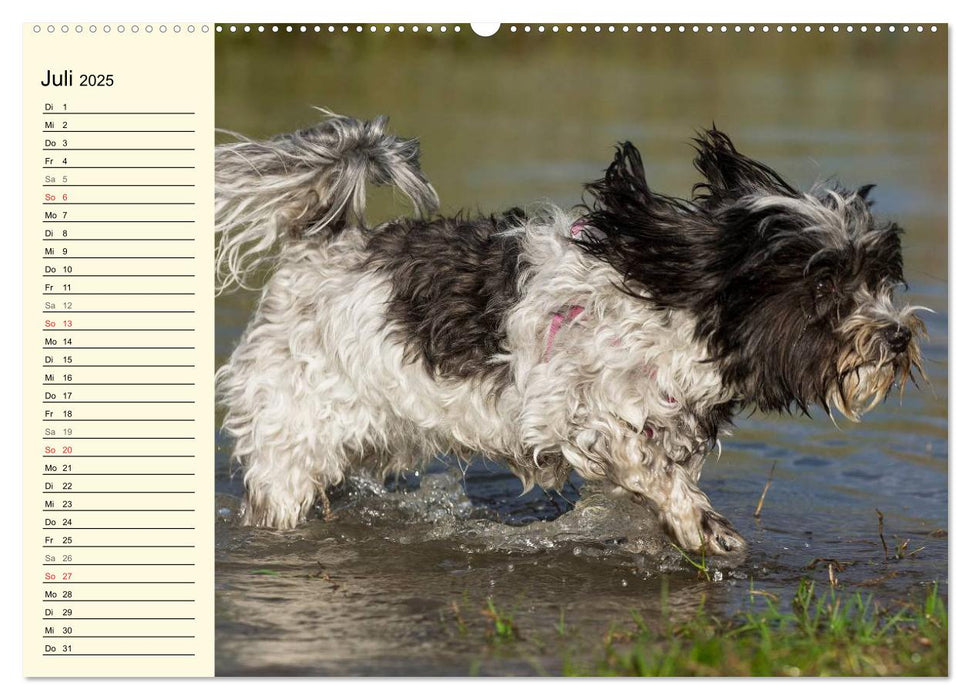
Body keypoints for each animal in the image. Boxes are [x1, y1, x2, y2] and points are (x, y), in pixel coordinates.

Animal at [215, 112, 928, 556]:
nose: (898, 335)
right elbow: (647, 465)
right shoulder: (579, 413)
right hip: (287, 448)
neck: (673, 313)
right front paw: (704, 525)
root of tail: (322, 244)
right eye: (825, 285)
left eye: (881, 278)